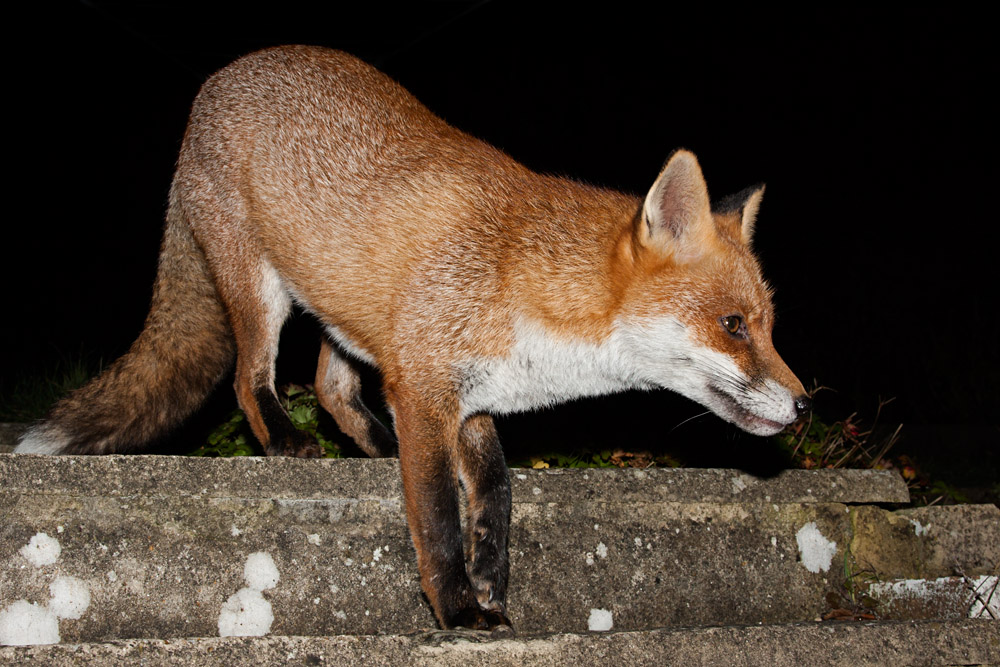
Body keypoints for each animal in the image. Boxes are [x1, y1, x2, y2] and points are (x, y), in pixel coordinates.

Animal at [17, 45, 809, 632]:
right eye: (733, 325)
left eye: (768, 325)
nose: (806, 406)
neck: (526, 289)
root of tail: (222, 77)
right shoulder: (427, 388)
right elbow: (436, 515)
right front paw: (458, 608)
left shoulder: (467, 394)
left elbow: (496, 491)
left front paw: (492, 579)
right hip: (259, 289)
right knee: (250, 379)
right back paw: (287, 441)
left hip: (350, 312)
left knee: (332, 388)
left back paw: (368, 446)